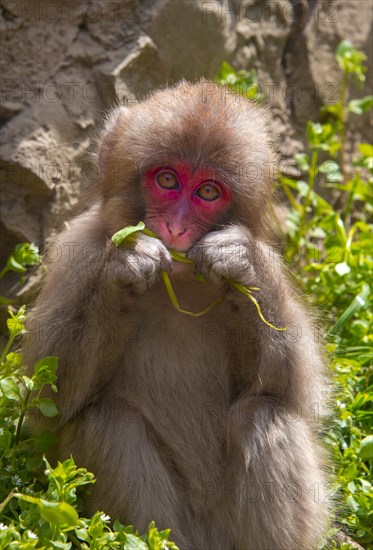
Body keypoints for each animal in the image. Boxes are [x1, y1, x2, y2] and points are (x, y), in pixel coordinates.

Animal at [23, 82, 326, 550]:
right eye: (167, 180)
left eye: (208, 192)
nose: (176, 230)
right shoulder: (80, 253)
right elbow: (47, 403)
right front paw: (127, 267)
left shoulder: (272, 261)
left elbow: (295, 389)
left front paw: (239, 263)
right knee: (108, 420)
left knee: (265, 412)